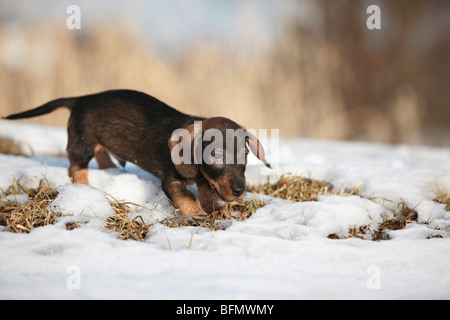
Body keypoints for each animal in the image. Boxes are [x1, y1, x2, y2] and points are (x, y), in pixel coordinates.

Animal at [4, 89, 270, 216]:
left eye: (245, 156)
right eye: (216, 156)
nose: (239, 191)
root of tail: (80, 99)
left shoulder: (205, 179)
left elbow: (205, 190)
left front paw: (216, 210)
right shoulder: (171, 180)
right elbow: (188, 197)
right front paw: (199, 216)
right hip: (82, 143)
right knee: (76, 167)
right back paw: (85, 187)